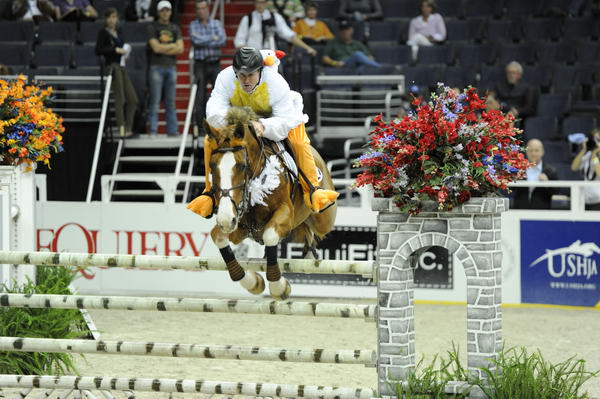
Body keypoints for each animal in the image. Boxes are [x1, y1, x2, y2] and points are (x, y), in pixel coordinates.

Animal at [204, 106, 338, 300]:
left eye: (242, 165)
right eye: (212, 166)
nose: (225, 219)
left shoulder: (285, 215)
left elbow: (270, 235)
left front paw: (279, 287)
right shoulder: (240, 226)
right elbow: (218, 237)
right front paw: (253, 282)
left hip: (323, 219)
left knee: (317, 226)